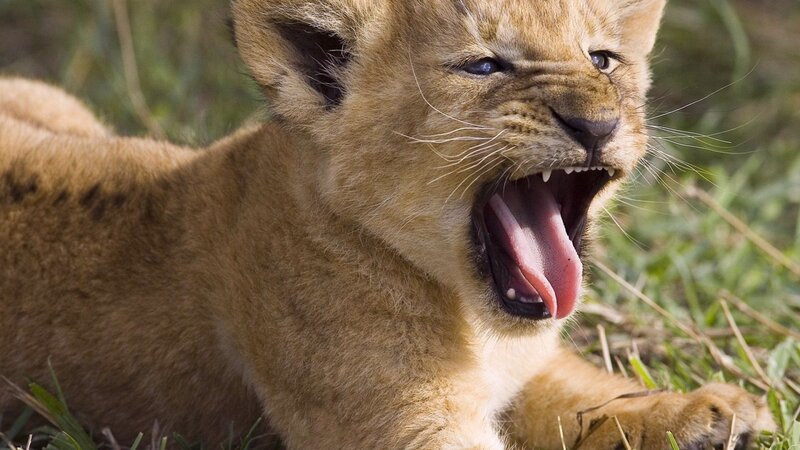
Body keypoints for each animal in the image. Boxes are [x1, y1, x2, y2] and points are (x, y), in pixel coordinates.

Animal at [0, 0, 776, 449]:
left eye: (602, 60)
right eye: (484, 66)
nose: (596, 125)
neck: (472, 317)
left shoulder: (529, 368)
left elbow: (590, 394)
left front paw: (710, 413)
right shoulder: (400, 424)